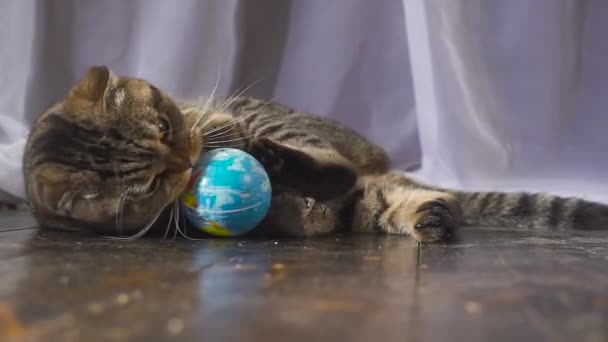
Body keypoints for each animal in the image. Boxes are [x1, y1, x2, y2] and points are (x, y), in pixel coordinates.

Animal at [21, 67, 608, 242]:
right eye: (146, 186)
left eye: (165, 126)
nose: (187, 165)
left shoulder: (207, 113)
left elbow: (212, 120)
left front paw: (222, 138)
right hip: (368, 206)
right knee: (388, 198)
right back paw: (431, 217)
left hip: (285, 129)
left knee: (336, 170)